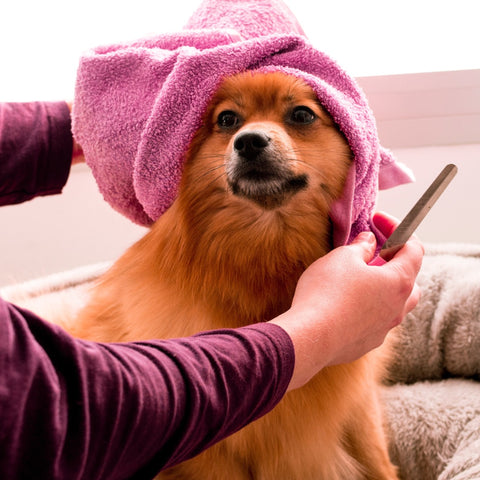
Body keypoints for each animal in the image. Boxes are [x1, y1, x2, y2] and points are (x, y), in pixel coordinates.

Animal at [68, 72, 398, 480]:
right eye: (227, 120)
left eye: (302, 115)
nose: (249, 141)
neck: (267, 253)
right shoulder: (212, 454)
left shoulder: (358, 404)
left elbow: (378, 461)